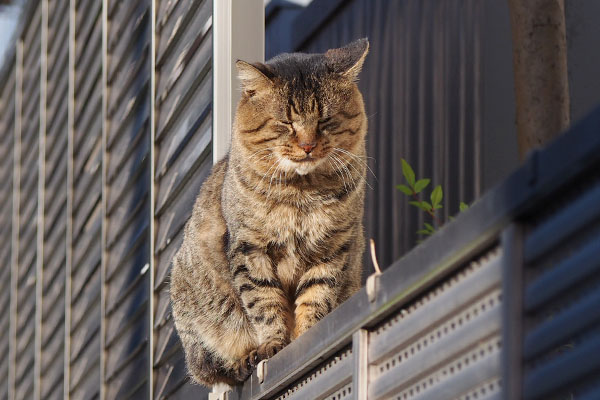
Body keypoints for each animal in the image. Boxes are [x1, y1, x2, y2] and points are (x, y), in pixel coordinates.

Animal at [170, 38, 370, 388]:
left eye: (325, 121)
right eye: (286, 123)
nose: (308, 146)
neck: (302, 194)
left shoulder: (332, 247)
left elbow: (317, 295)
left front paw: (306, 335)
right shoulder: (250, 249)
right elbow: (263, 301)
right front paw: (273, 343)